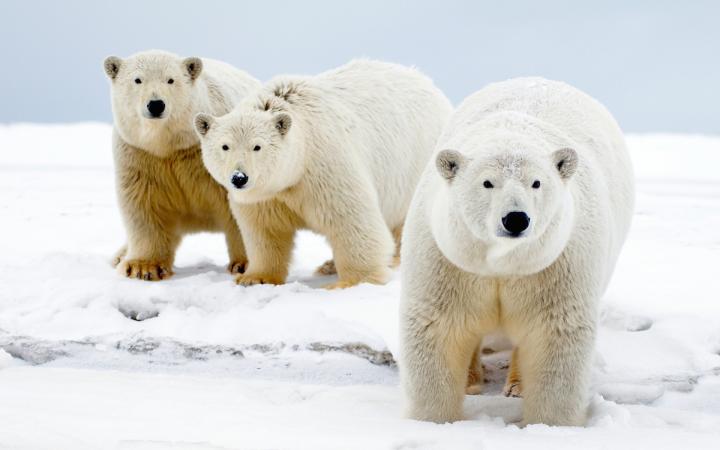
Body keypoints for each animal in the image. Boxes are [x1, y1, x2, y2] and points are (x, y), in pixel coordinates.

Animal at [101, 50, 258, 282]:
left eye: (170, 79)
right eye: (137, 80)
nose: (156, 104)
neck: (170, 145)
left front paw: (246, 264)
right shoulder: (140, 155)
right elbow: (144, 204)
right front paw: (142, 267)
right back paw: (120, 256)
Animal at [191, 60, 450, 288]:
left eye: (257, 146)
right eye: (225, 146)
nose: (239, 178)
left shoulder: (324, 164)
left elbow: (351, 218)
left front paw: (352, 281)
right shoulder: (267, 194)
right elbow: (264, 229)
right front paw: (254, 278)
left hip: (418, 164)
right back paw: (329, 265)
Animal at [400, 77, 636, 426]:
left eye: (536, 183)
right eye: (487, 183)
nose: (515, 219)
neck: (502, 263)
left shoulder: (556, 263)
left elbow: (555, 333)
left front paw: (551, 424)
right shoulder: (448, 258)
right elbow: (439, 326)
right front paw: (433, 420)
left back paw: (517, 385)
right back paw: (471, 380)